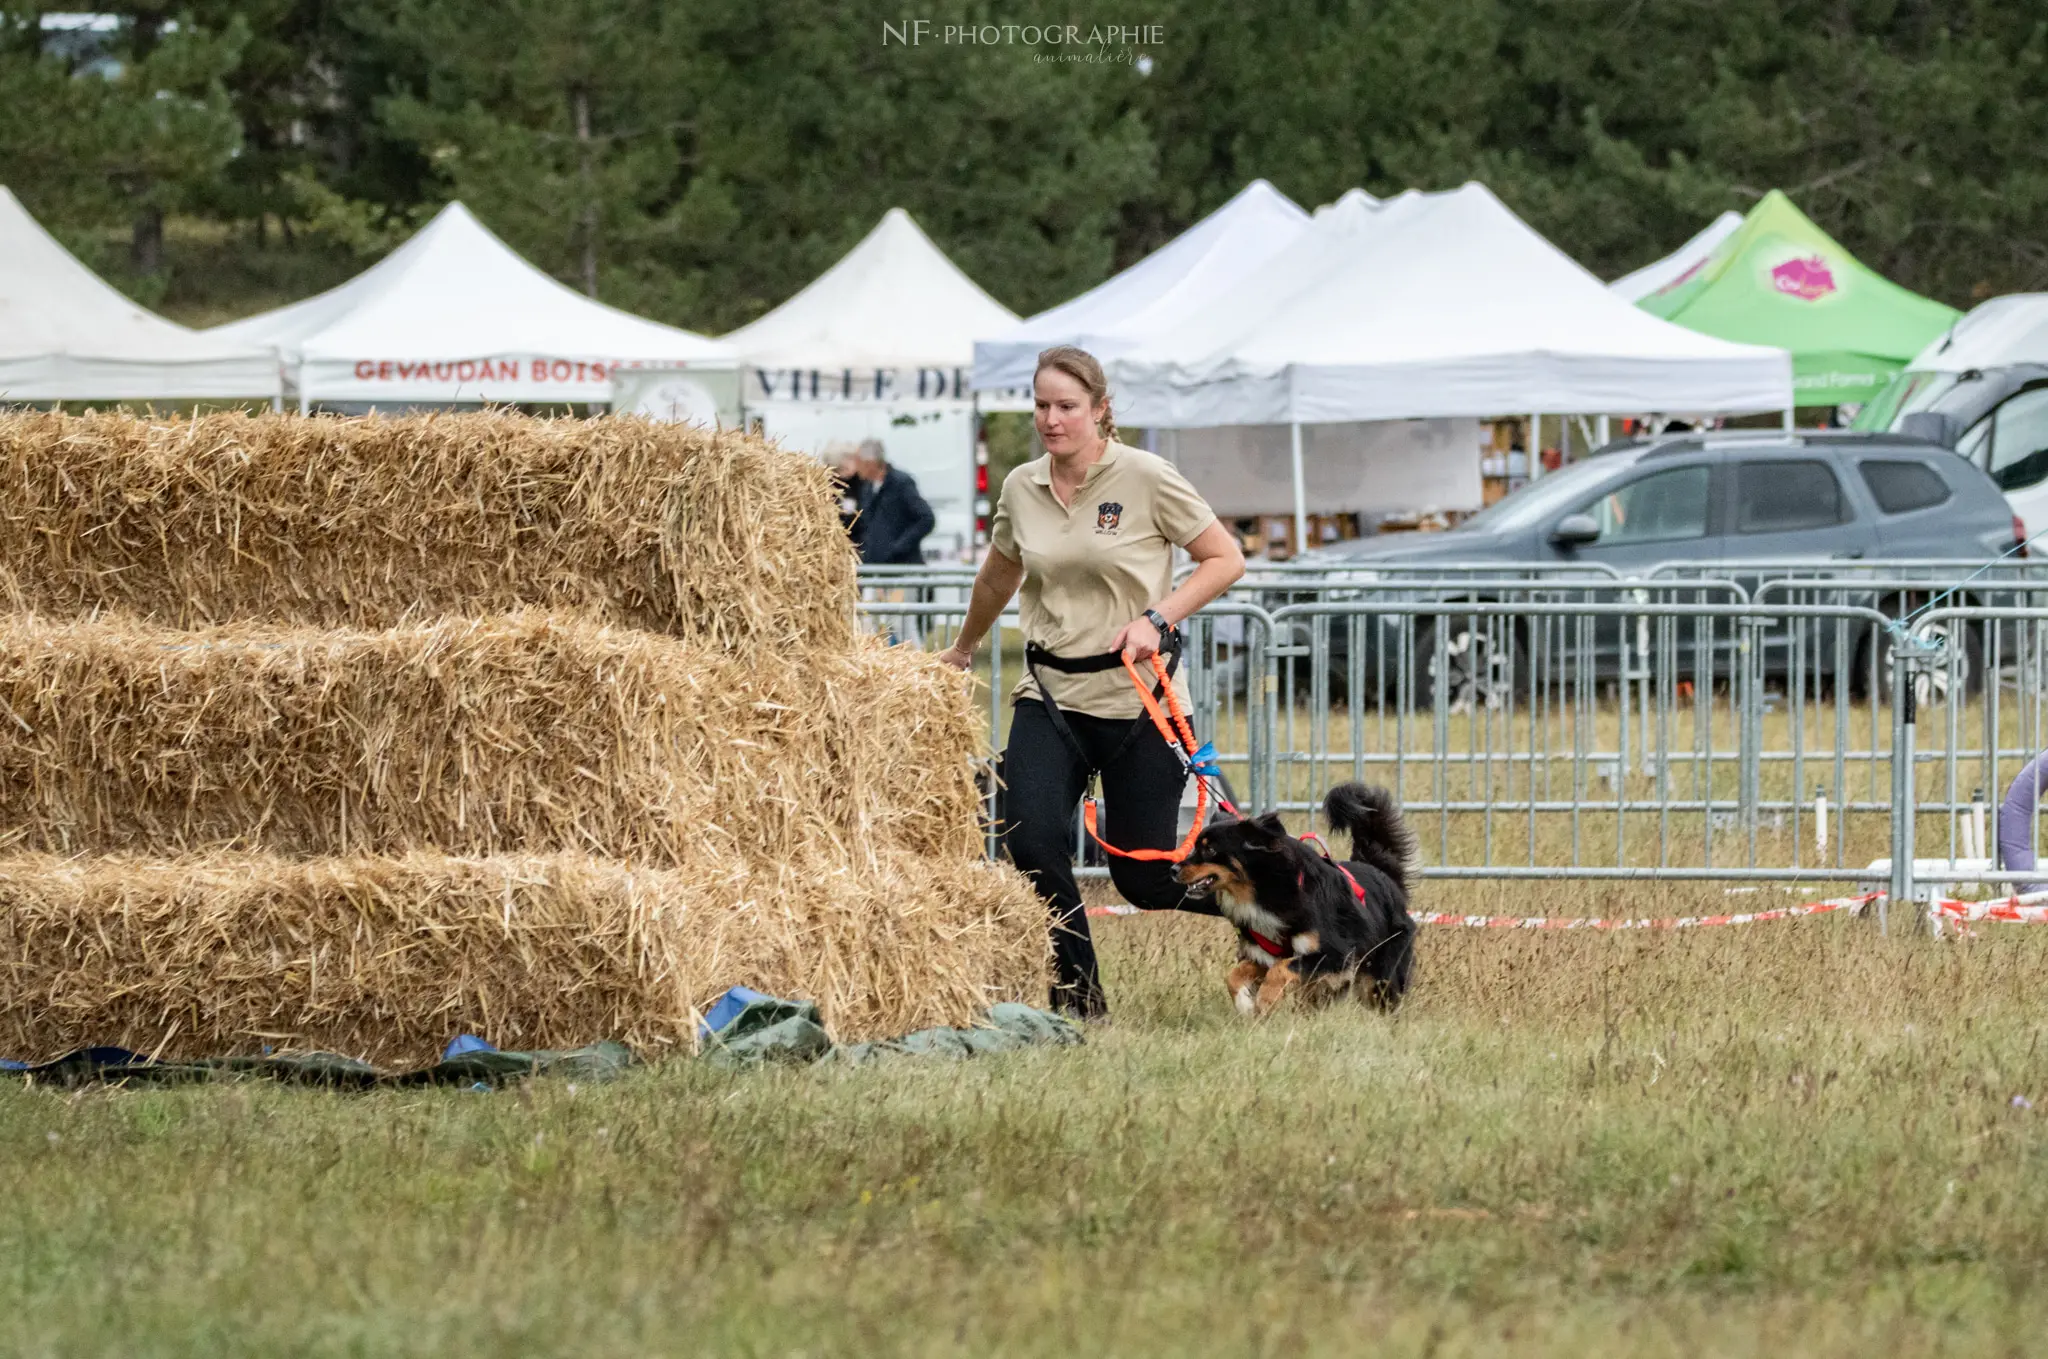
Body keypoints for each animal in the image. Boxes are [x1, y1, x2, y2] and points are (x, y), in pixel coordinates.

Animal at [1179, 781, 1417, 1015]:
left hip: (1381, 973)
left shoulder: (1335, 954)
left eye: (1210, 850)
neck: (1265, 888)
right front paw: (1245, 1005)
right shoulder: (1264, 954)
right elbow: (1235, 975)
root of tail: (1382, 874)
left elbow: (1281, 968)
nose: (1174, 869)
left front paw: (1265, 1000)